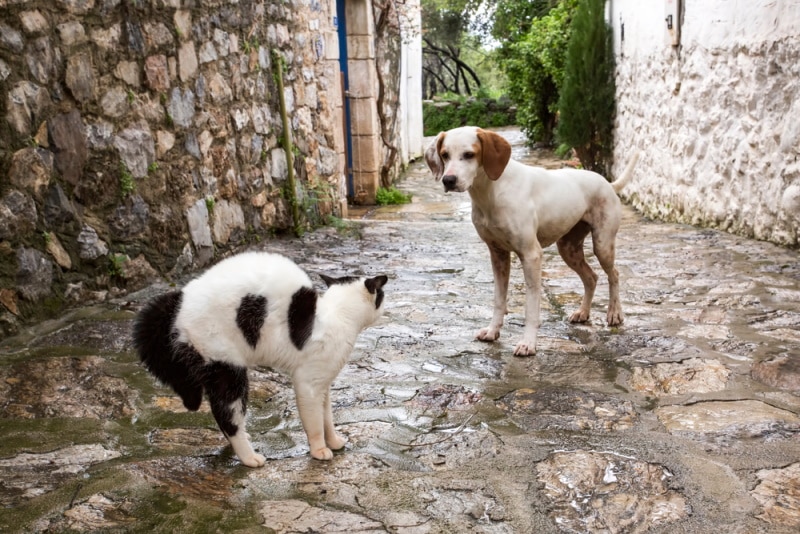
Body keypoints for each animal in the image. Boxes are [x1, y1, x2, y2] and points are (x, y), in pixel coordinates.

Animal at [134, 252, 388, 468]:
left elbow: (327, 417)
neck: (339, 314)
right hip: (229, 369)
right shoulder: (308, 384)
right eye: (382, 296)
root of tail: (180, 298)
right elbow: (314, 421)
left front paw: (333, 441)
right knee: (227, 415)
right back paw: (248, 456)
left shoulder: (323, 384)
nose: (385, 308)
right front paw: (319, 450)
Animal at [422, 127, 640, 358]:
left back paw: (614, 313)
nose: (448, 180)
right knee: (591, 277)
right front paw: (492, 331)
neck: (490, 192)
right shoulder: (497, 254)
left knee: (613, 274)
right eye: (445, 154)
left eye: (469, 154)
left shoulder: (531, 255)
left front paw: (528, 343)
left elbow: (531, 307)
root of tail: (607, 182)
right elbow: (499, 300)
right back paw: (583, 312)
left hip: (602, 244)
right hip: (568, 249)